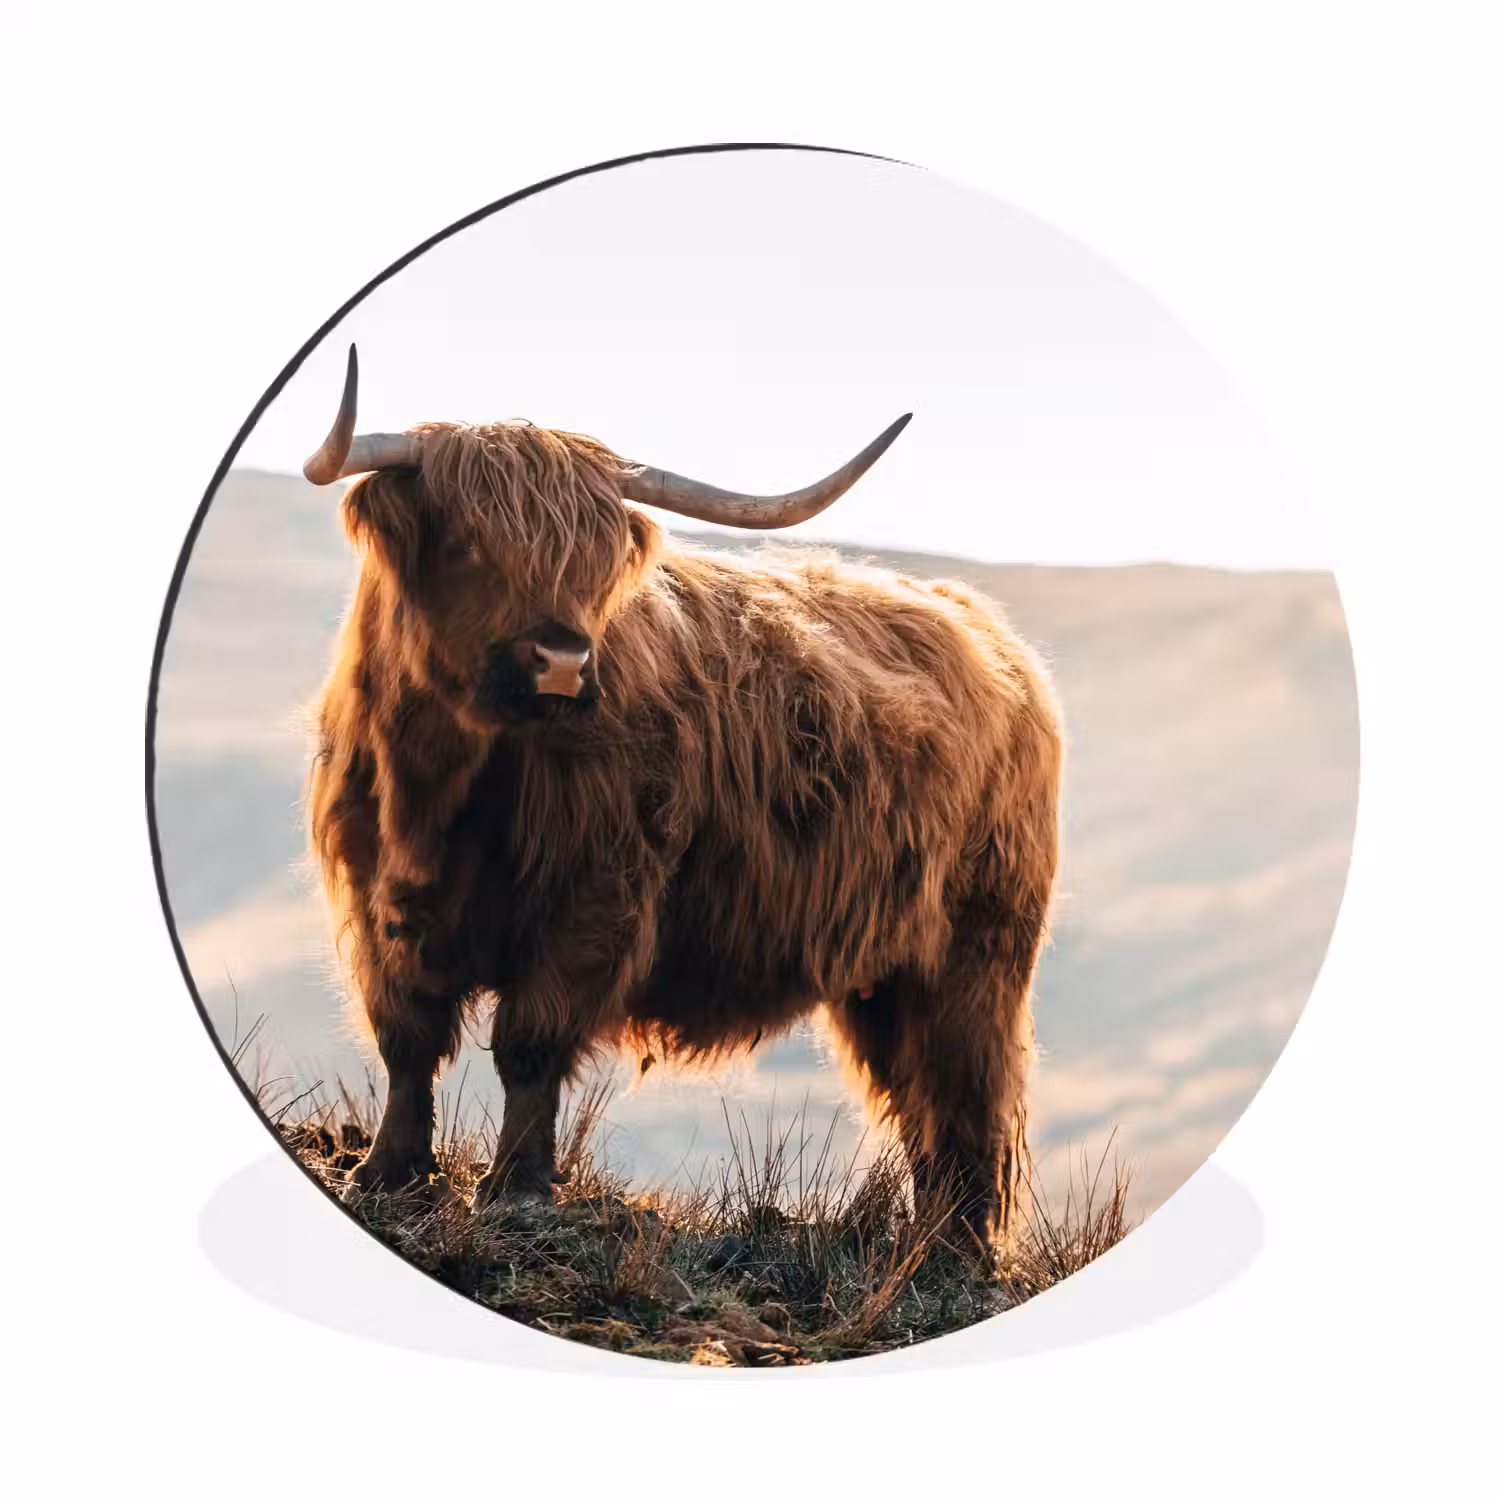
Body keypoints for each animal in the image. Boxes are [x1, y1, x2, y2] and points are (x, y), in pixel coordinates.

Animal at [303, 344, 1062, 1249]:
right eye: (466, 545)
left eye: (594, 563)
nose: (562, 661)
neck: (440, 788)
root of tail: (988, 632)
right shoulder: (377, 897)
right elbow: (408, 1037)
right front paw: (387, 1173)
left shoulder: (594, 899)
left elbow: (529, 1042)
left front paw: (517, 1189)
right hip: (885, 974)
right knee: (918, 1098)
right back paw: (925, 1243)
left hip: (977, 950)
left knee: (964, 1090)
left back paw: (957, 1250)